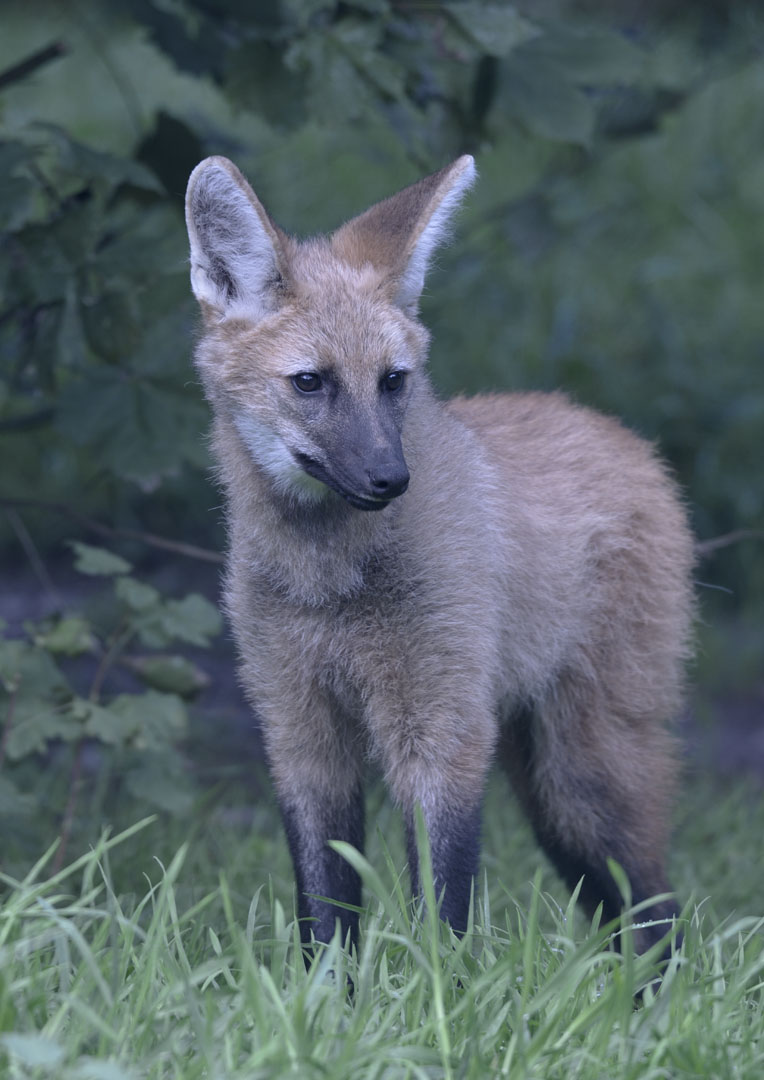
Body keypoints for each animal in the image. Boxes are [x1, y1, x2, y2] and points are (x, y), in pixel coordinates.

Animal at [185, 154, 694, 956]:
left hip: (582, 773)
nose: (390, 479)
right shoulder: (300, 733)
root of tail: (622, 434)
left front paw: (438, 995)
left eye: (392, 380)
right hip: (545, 789)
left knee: (658, 916)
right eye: (310, 382)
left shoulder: (441, 734)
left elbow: (441, 921)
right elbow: (325, 920)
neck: (329, 583)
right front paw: (328, 993)